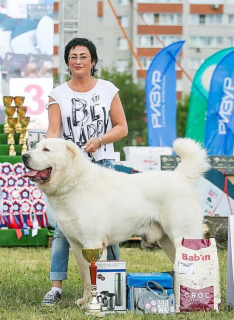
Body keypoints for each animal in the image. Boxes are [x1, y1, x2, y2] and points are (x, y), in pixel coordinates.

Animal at [21, 137, 208, 304]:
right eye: (35, 147)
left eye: (46, 150)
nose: (24, 156)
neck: (73, 182)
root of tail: (181, 176)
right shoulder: (76, 245)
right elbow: (85, 277)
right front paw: (85, 301)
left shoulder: (94, 243)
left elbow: (94, 277)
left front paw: (94, 304)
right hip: (168, 241)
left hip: (183, 235)